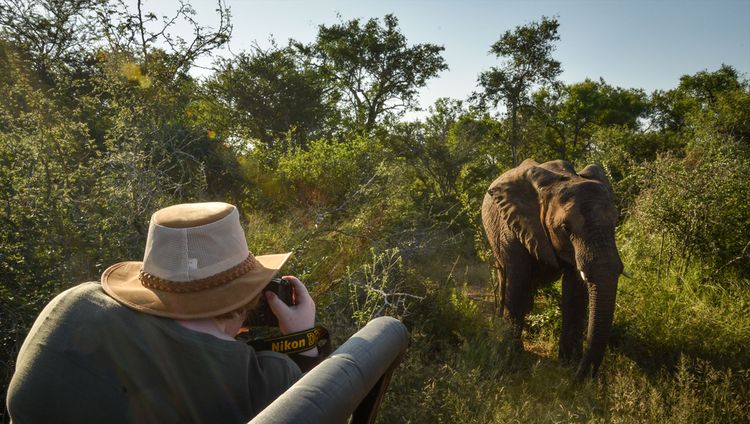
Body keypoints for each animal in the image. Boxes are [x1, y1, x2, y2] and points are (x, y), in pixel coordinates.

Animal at [482, 158, 628, 378]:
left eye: (615, 222)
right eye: (565, 228)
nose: (578, 377)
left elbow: (575, 293)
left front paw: (568, 363)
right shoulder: (513, 227)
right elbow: (517, 284)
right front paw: (511, 356)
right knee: (505, 278)